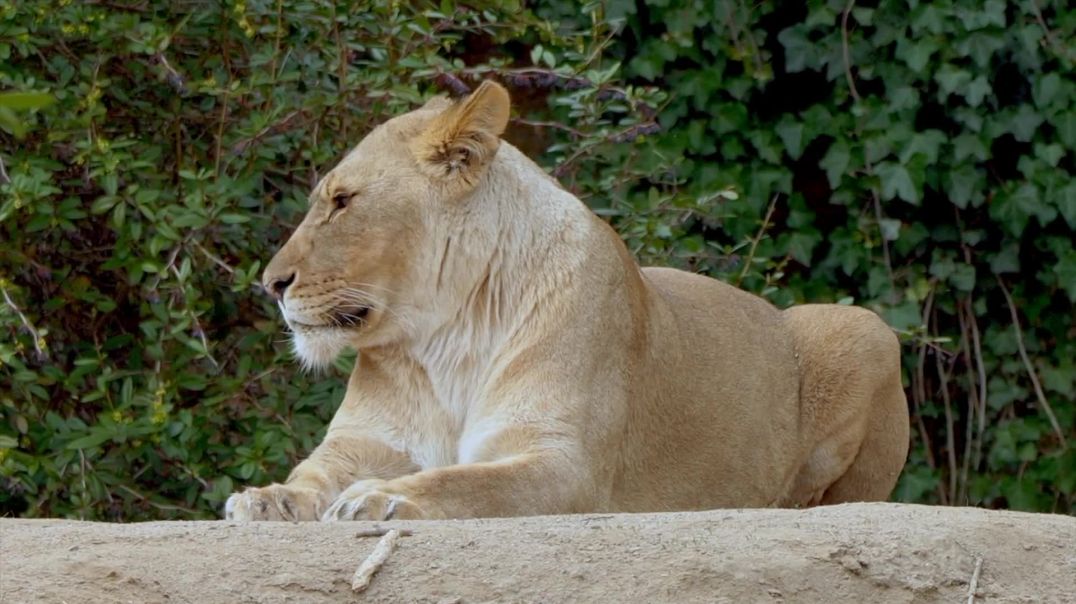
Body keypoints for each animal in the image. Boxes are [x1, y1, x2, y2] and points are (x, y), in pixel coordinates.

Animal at [224, 81, 909, 522]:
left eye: (343, 202)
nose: (270, 284)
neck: (444, 335)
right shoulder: (364, 443)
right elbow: (313, 472)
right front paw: (268, 497)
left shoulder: (563, 463)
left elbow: (464, 484)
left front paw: (384, 498)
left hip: (862, 326)